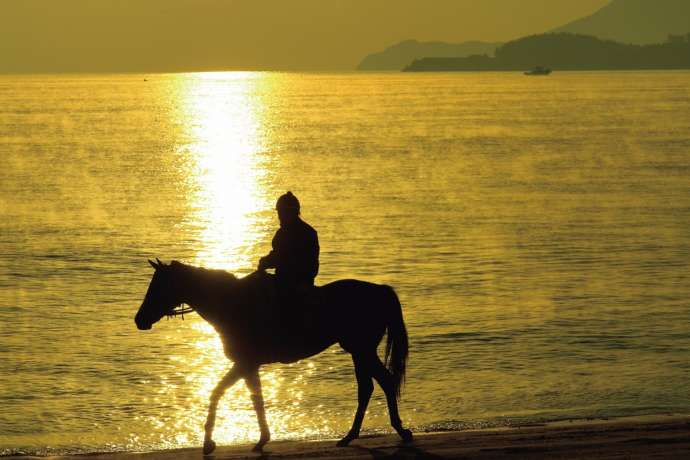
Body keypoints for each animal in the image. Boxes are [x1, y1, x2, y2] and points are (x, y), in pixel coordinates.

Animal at [135, 260, 414, 454]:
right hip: (360, 351)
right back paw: (353, 435)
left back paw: (397, 430)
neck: (230, 303)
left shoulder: (244, 363)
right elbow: (254, 398)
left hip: (361, 350)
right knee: (372, 386)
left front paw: (209, 442)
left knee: (379, 383)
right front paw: (261, 439)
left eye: (158, 286)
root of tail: (380, 290)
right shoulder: (248, 366)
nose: (139, 320)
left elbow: (219, 393)